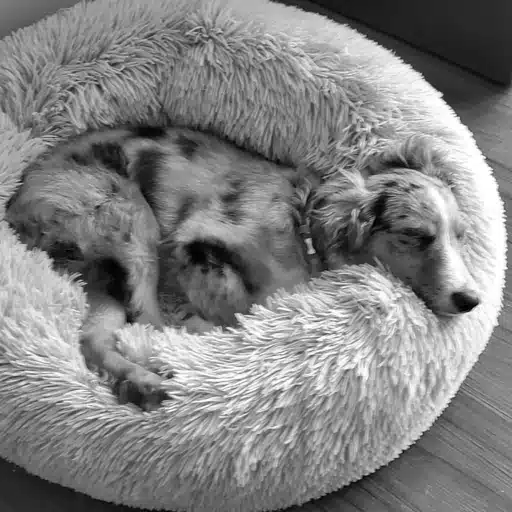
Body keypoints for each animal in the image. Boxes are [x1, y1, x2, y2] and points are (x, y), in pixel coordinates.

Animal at [5, 127, 480, 408]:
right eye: (417, 236)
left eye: (460, 234)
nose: (471, 300)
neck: (302, 228)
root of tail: (16, 204)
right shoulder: (196, 242)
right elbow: (237, 306)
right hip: (129, 218)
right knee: (146, 321)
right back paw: (159, 372)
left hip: (106, 268)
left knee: (94, 337)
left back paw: (142, 382)